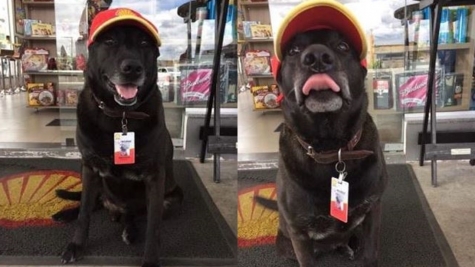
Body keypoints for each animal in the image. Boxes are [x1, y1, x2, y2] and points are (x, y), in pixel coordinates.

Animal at [59, 23, 184, 267]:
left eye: (144, 43)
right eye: (109, 41)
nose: (132, 68)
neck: (120, 115)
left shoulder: (155, 178)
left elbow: (153, 227)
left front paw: (150, 261)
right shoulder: (89, 168)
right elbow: (84, 213)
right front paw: (77, 245)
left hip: (172, 197)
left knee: (132, 214)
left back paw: (129, 229)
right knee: (94, 204)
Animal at [262, 28, 388, 266]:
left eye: (343, 46)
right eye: (293, 50)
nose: (317, 57)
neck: (332, 149)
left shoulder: (373, 210)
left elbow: (370, 254)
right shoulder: (299, 234)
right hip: (285, 243)